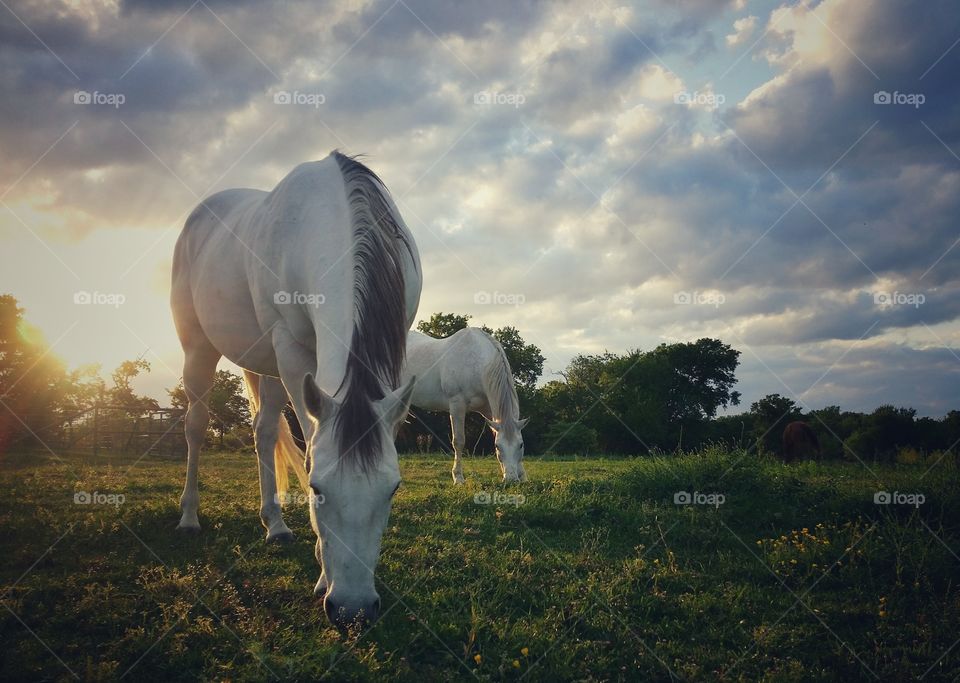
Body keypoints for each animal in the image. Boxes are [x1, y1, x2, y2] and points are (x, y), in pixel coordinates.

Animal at [170, 151, 421, 626]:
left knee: (264, 431)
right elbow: (308, 443)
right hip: (199, 351)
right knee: (195, 426)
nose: (353, 610)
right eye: (317, 489)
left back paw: (276, 525)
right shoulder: (289, 348)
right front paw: (323, 573)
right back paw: (189, 518)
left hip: (265, 365)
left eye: (394, 489)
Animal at [402, 328, 529, 483]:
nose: (511, 479)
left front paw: (522, 476)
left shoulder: (490, 411)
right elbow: (459, 441)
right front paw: (458, 478)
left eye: (521, 445)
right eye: (497, 446)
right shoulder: (457, 405)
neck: (475, 363)